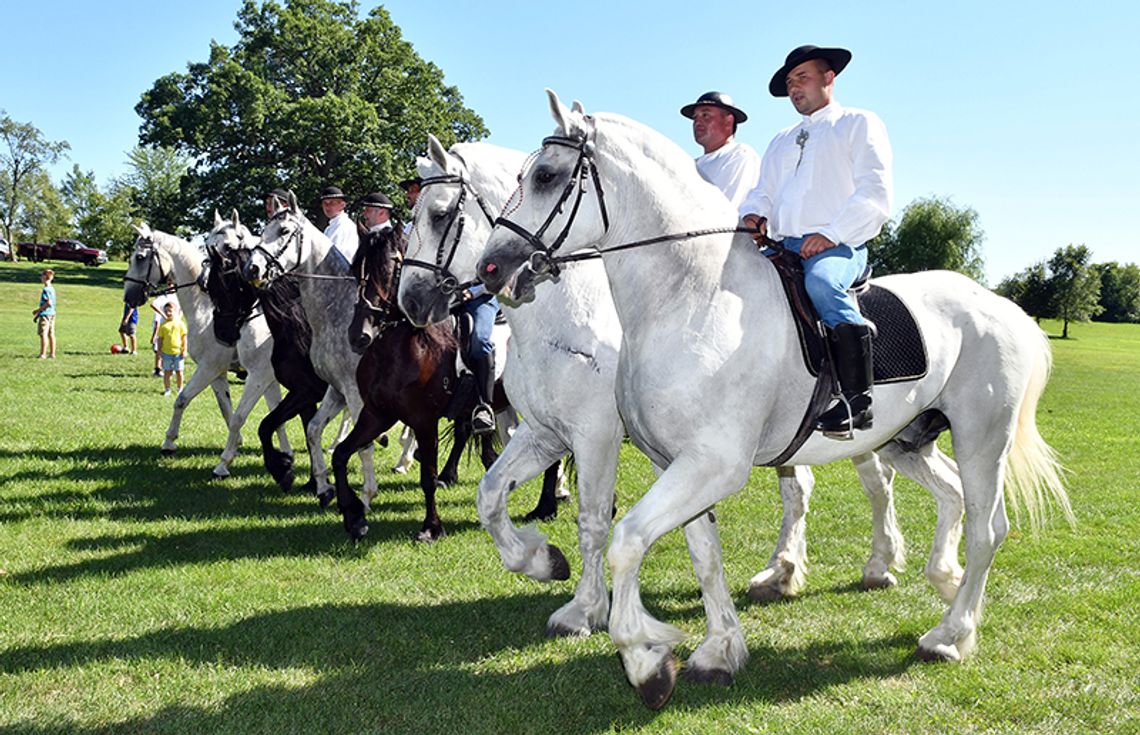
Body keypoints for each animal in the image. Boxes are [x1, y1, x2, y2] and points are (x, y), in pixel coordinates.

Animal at [123, 222, 291, 476]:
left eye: (140, 258)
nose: (128, 297)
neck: (206, 309)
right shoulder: (221, 373)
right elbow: (225, 408)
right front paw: (240, 444)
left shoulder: (212, 368)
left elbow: (183, 399)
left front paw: (170, 443)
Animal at [242, 198, 380, 512]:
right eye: (261, 230)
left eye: (283, 230)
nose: (252, 269)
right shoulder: (334, 389)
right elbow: (312, 430)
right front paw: (322, 487)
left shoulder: (353, 393)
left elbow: (363, 444)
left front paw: (366, 497)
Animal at [401, 134, 971, 633]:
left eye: (439, 214)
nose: (410, 300)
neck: (571, 318)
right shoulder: (544, 432)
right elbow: (490, 495)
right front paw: (542, 560)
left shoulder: (596, 436)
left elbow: (594, 520)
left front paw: (586, 609)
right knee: (826, 487)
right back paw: (789, 570)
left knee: (877, 485)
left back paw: (879, 566)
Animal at [478, 91, 1067, 706]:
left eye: (545, 176)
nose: (491, 269)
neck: (691, 298)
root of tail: (1000, 305)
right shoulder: (675, 462)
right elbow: (702, 554)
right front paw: (718, 650)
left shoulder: (707, 463)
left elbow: (625, 539)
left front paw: (644, 658)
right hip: (908, 439)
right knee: (949, 495)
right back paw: (941, 581)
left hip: (982, 438)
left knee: (986, 528)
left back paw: (950, 634)